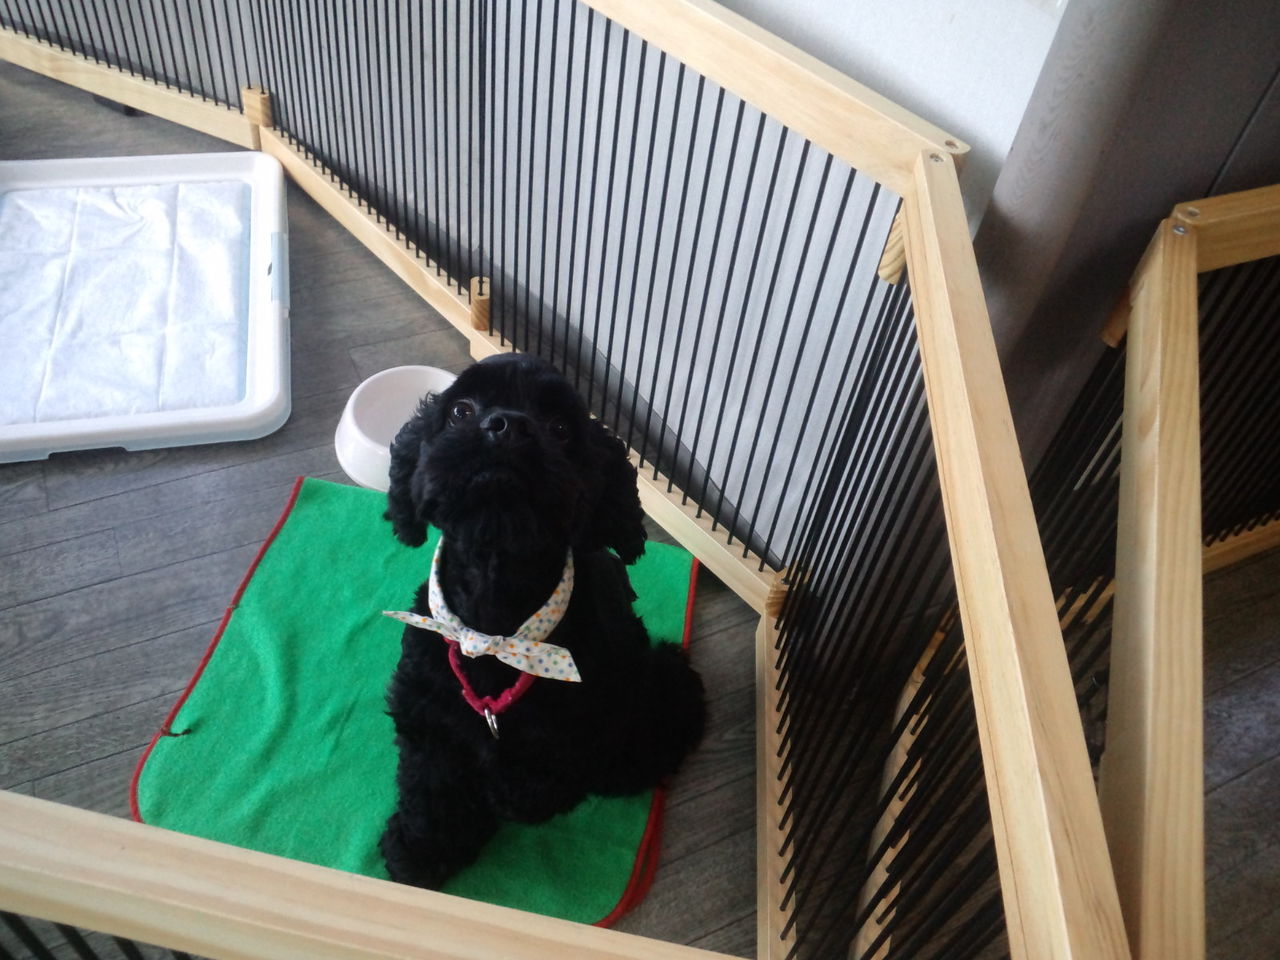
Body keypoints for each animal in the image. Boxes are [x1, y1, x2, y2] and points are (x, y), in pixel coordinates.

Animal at [380, 352, 706, 889]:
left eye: (560, 428)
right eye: (460, 411)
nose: (506, 426)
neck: (496, 621)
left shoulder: (582, 731)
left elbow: (533, 786)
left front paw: (494, 795)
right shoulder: (425, 711)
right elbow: (430, 785)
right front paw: (420, 850)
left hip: (666, 679)